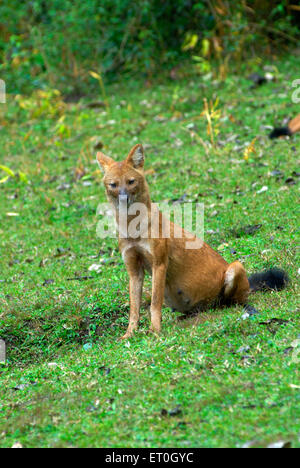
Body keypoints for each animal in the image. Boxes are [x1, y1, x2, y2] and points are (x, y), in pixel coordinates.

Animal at [96, 144, 288, 338]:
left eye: (131, 181)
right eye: (113, 185)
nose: (123, 198)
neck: (132, 229)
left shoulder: (159, 264)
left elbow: (154, 303)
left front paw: (155, 330)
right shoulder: (134, 270)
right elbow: (134, 308)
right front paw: (130, 334)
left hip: (235, 267)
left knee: (229, 302)